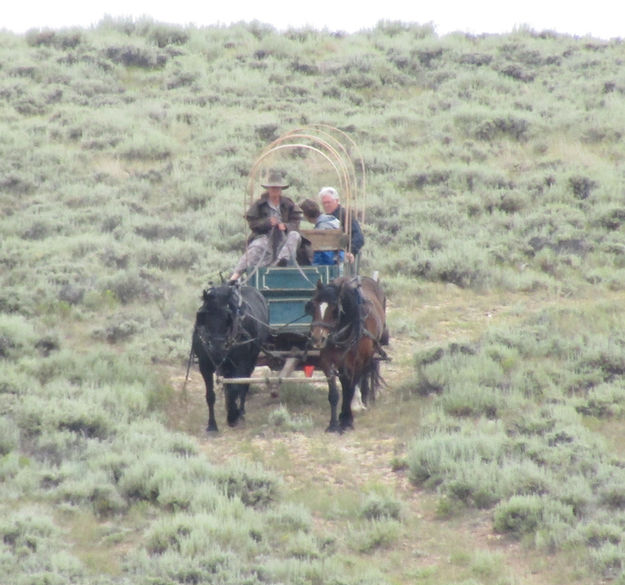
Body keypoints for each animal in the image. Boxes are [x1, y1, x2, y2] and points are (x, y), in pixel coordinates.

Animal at [190, 282, 268, 434]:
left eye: (228, 317)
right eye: (203, 316)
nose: (217, 348)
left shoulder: (241, 363)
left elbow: (236, 388)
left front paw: (233, 416)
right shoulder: (204, 366)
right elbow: (210, 395)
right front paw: (212, 425)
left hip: (250, 360)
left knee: (244, 385)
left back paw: (240, 412)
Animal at [306, 276, 388, 432]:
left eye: (334, 309)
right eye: (313, 305)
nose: (317, 339)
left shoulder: (357, 362)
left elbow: (349, 390)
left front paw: (346, 420)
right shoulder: (327, 362)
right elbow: (334, 393)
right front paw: (333, 424)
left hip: (368, 356)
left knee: (365, 375)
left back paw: (365, 399)